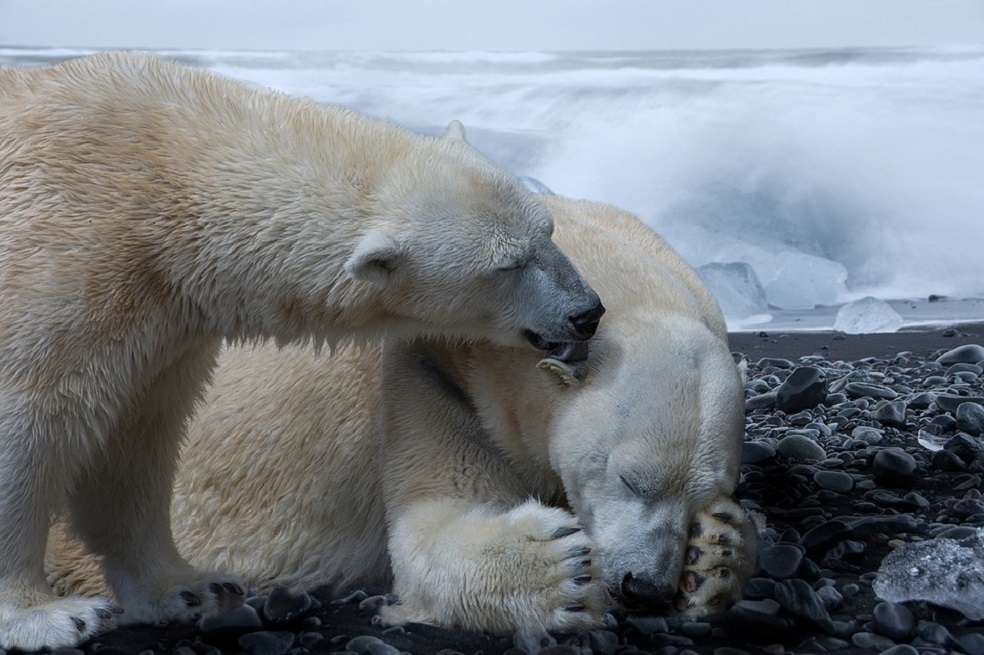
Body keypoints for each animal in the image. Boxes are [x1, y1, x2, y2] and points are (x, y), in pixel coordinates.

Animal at [0, 55, 602, 651]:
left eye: (548, 231)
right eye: (508, 265)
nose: (587, 311)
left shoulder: (161, 321)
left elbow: (136, 441)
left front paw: (188, 588)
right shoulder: (60, 263)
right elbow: (28, 424)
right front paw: (46, 616)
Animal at [46, 189, 757, 645]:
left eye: (708, 491)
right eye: (629, 478)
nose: (645, 586)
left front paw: (716, 553)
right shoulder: (428, 372)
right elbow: (433, 523)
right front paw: (561, 569)